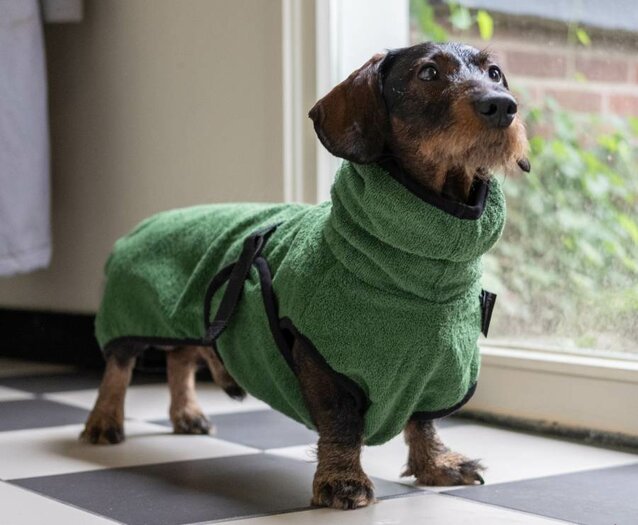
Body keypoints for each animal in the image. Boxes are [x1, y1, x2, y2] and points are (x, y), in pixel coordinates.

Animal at [81, 43, 528, 510]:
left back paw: (186, 413)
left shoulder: (435, 370)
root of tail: (148, 222)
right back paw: (104, 420)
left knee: (180, 357)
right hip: (129, 313)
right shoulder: (323, 363)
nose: (502, 106)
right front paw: (342, 481)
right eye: (428, 73)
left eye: (495, 73)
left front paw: (436, 464)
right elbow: (341, 426)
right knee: (119, 365)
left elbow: (422, 422)